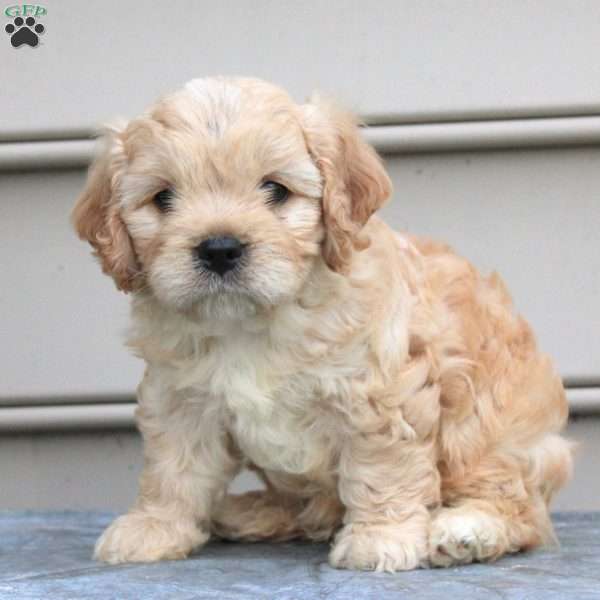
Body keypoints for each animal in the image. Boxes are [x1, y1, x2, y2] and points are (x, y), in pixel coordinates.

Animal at [74, 76, 572, 572]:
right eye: (163, 197)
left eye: (275, 190)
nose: (219, 248)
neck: (251, 322)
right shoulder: (180, 400)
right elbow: (172, 469)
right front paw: (153, 527)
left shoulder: (380, 393)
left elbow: (382, 467)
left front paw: (381, 537)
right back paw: (253, 512)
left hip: (483, 427)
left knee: (518, 504)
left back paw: (466, 530)